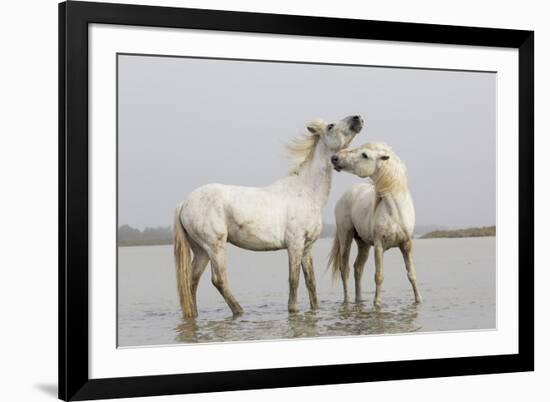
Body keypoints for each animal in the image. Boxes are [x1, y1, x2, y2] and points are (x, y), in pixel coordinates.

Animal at [177, 115, 364, 318]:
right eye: (330, 126)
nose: (357, 118)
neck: (306, 191)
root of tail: (184, 203)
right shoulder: (294, 244)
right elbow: (294, 279)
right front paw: (293, 309)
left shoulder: (307, 247)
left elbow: (311, 282)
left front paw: (314, 309)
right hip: (215, 246)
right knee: (218, 280)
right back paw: (240, 311)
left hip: (201, 251)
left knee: (191, 281)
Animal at [330, 143, 424, 306]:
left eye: (365, 155)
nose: (334, 158)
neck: (395, 212)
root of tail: (346, 194)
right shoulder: (379, 246)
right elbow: (379, 276)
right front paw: (377, 303)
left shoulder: (406, 244)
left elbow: (411, 274)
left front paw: (418, 300)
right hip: (345, 237)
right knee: (345, 269)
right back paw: (347, 301)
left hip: (363, 243)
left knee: (358, 268)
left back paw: (359, 300)